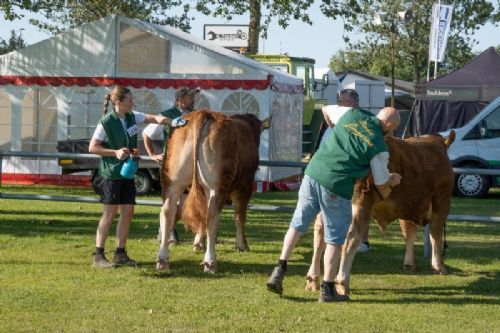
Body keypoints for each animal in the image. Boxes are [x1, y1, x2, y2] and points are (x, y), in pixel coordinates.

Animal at [156, 110, 268, 272]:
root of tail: (202, 113)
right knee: (211, 216)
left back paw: (162, 259)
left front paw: (198, 244)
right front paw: (242, 245)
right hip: (216, 186)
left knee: (168, 212)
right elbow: (239, 217)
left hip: (172, 181)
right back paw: (210, 262)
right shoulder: (245, 187)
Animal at [304, 132, 454, 294]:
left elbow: (409, 234)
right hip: (360, 203)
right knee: (351, 236)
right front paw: (439, 266)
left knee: (320, 232)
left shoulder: (407, 206)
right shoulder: (442, 202)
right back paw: (342, 283)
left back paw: (313, 279)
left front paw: (409, 264)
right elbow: (435, 235)